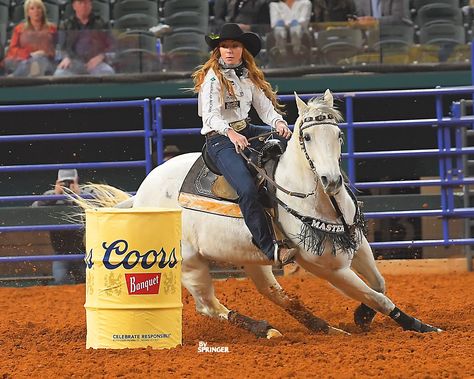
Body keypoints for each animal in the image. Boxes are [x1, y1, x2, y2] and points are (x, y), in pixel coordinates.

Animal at [80, 91, 440, 338]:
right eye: (307, 136)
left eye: (338, 135)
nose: (331, 180)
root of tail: (140, 197)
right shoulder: (328, 266)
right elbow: (376, 296)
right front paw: (421, 327)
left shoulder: (357, 241)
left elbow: (379, 284)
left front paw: (362, 317)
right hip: (190, 262)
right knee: (209, 306)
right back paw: (265, 329)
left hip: (252, 256)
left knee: (273, 292)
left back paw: (323, 327)